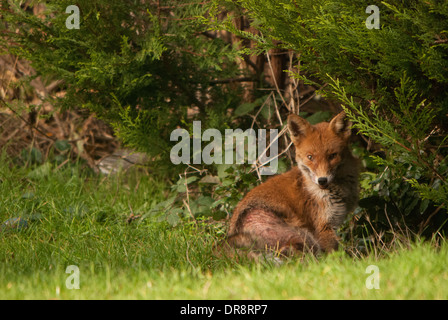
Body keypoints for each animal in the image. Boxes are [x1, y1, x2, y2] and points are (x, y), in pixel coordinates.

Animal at [226, 112, 358, 258]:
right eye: (310, 157)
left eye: (332, 156)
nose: (322, 180)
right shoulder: (322, 228)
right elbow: (335, 256)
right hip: (305, 237)